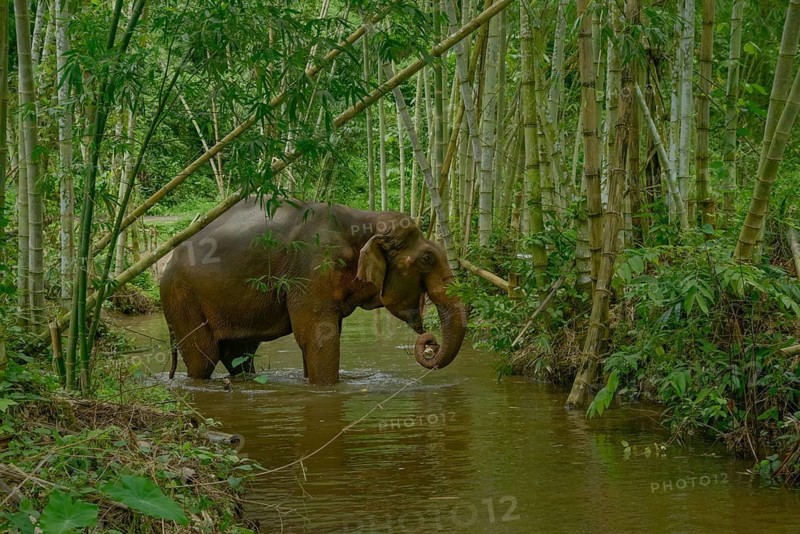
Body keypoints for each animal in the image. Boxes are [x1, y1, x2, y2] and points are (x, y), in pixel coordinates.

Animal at [159, 196, 467, 385]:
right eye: (427, 259)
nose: (429, 340)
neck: (363, 221)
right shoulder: (310, 268)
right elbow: (317, 337)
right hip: (182, 300)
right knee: (203, 359)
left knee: (240, 356)